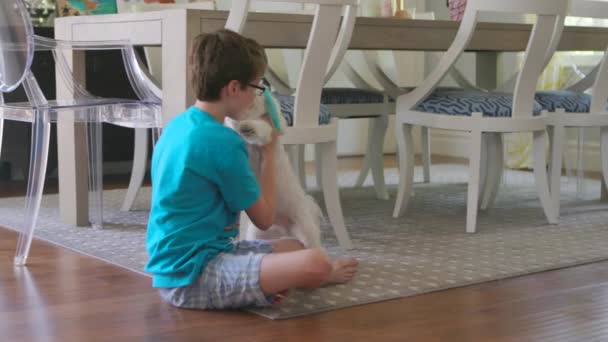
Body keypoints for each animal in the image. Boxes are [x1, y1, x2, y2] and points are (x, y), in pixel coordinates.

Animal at [227, 93, 324, 248]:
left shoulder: (268, 132)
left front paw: (249, 127)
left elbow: (262, 128)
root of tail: (284, 228)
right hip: (259, 233)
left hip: (305, 228)